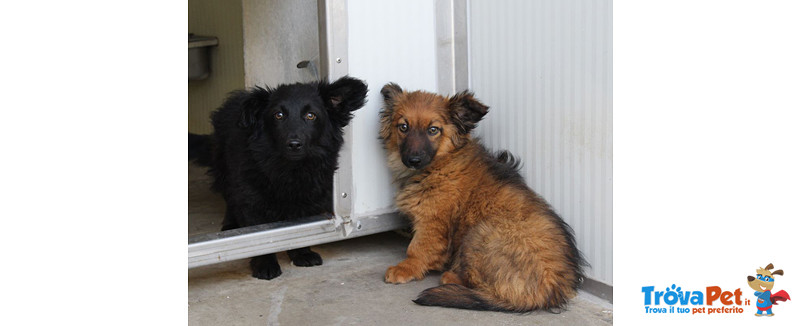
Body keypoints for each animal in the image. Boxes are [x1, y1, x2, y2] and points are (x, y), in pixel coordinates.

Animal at [191, 76, 368, 278]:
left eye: (311, 115)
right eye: (279, 115)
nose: (294, 144)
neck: (291, 169)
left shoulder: (309, 199)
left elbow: (300, 228)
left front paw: (301, 253)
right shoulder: (251, 200)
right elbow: (258, 236)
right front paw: (265, 264)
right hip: (224, 170)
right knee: (230, 199)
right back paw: (230, 225)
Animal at [378, 83, 584, 312]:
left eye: (433, 130)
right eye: (403, 127)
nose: (413, 160)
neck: (442, 163)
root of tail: (550, 290)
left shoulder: (432, 221)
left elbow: (417, 248)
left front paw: (405, 268)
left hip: (480, 232)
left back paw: (451, 277)